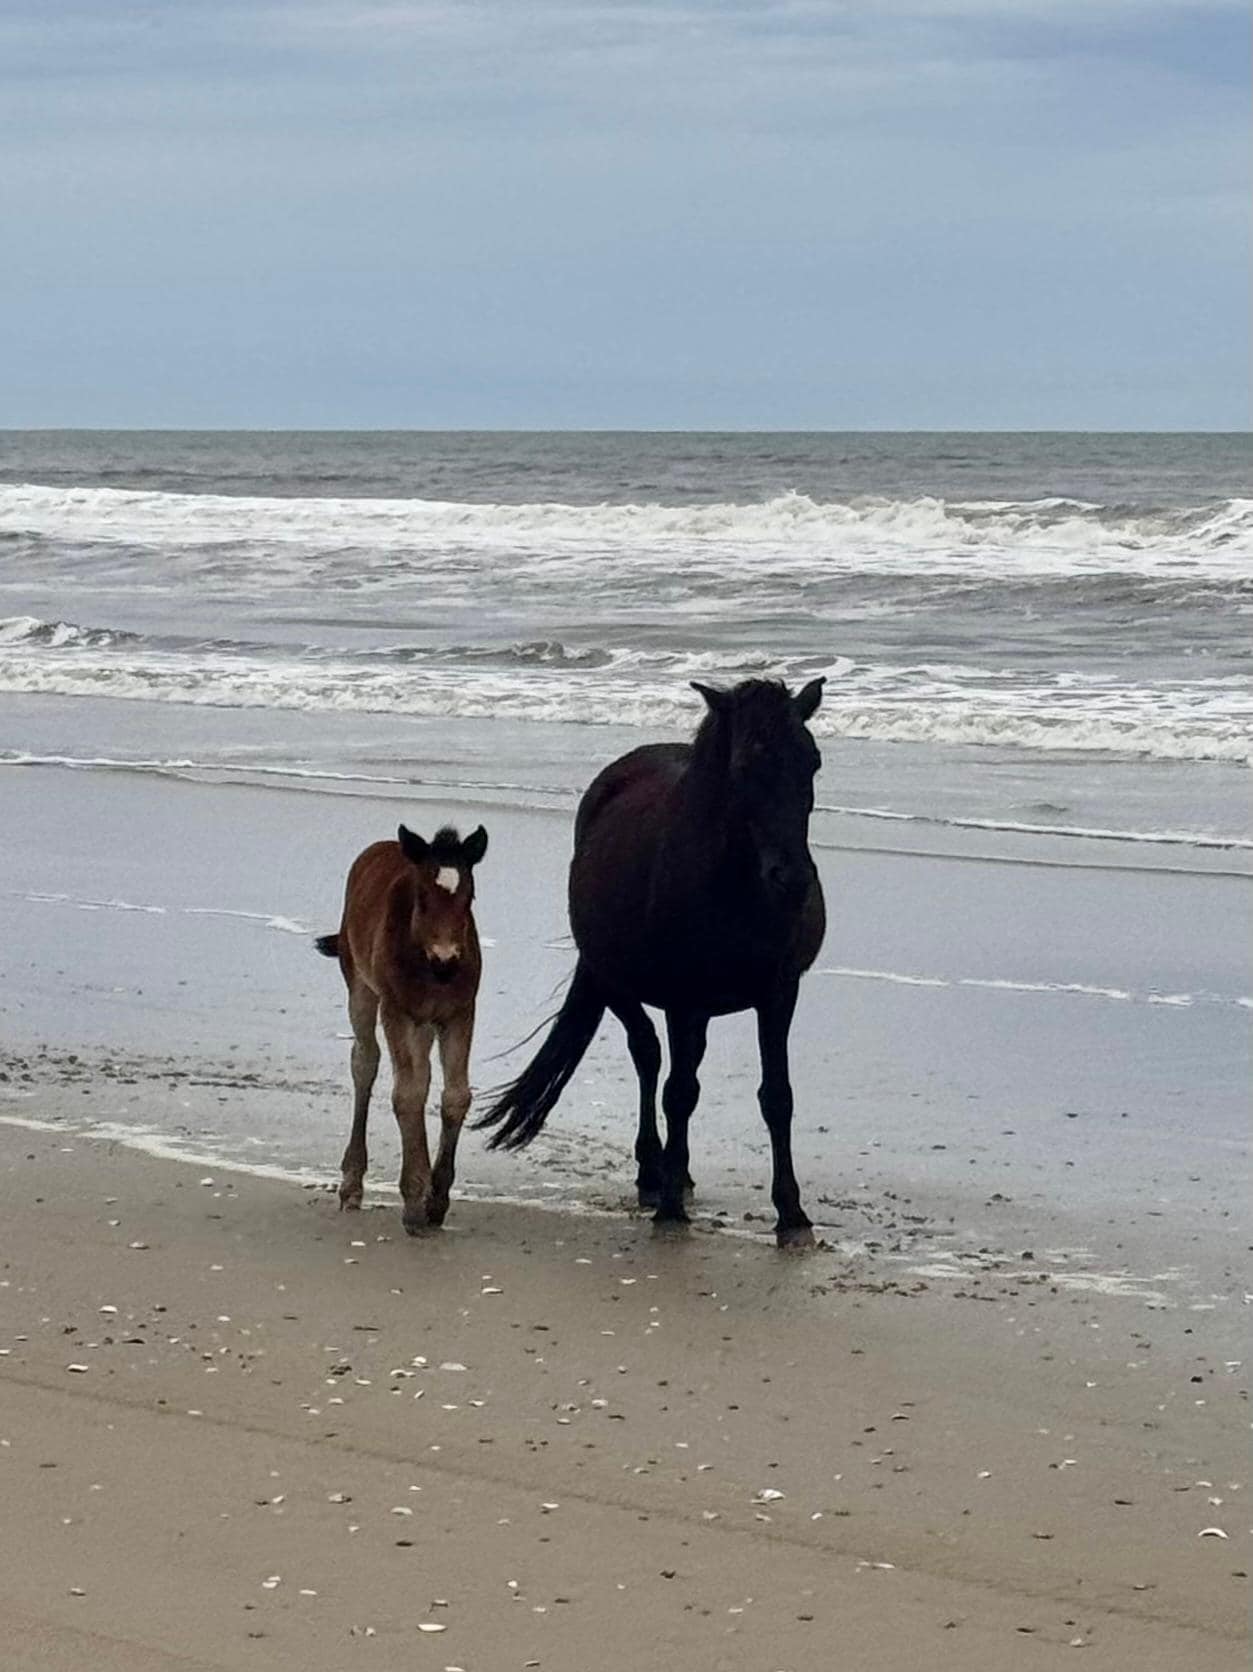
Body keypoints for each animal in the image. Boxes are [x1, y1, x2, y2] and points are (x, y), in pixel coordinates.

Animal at [316, 822, 488, 1232]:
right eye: (421, 897)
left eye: (470, 896)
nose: (446, 960)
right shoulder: (396, 1011)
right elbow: (406, 1095)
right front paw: (413, 1201)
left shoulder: (459, 1013)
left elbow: (456, 1095)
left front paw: (436, 1200)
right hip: (360, 986)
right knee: (365, 1061)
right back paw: (351, 1184)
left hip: (424, 1024)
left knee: (421, 1074)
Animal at [475, 677, 826, 1247]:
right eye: (744, 767)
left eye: (812, 761)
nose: (791, 878)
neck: (737, 891)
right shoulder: (684, 999)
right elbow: (679, 1093)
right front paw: (669, 1208)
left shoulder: (779, 993)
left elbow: (777, 1097)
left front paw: (792, 1214)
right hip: (615, 979)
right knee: (648, 1055)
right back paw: (653, 1173)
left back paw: (675, 1174)